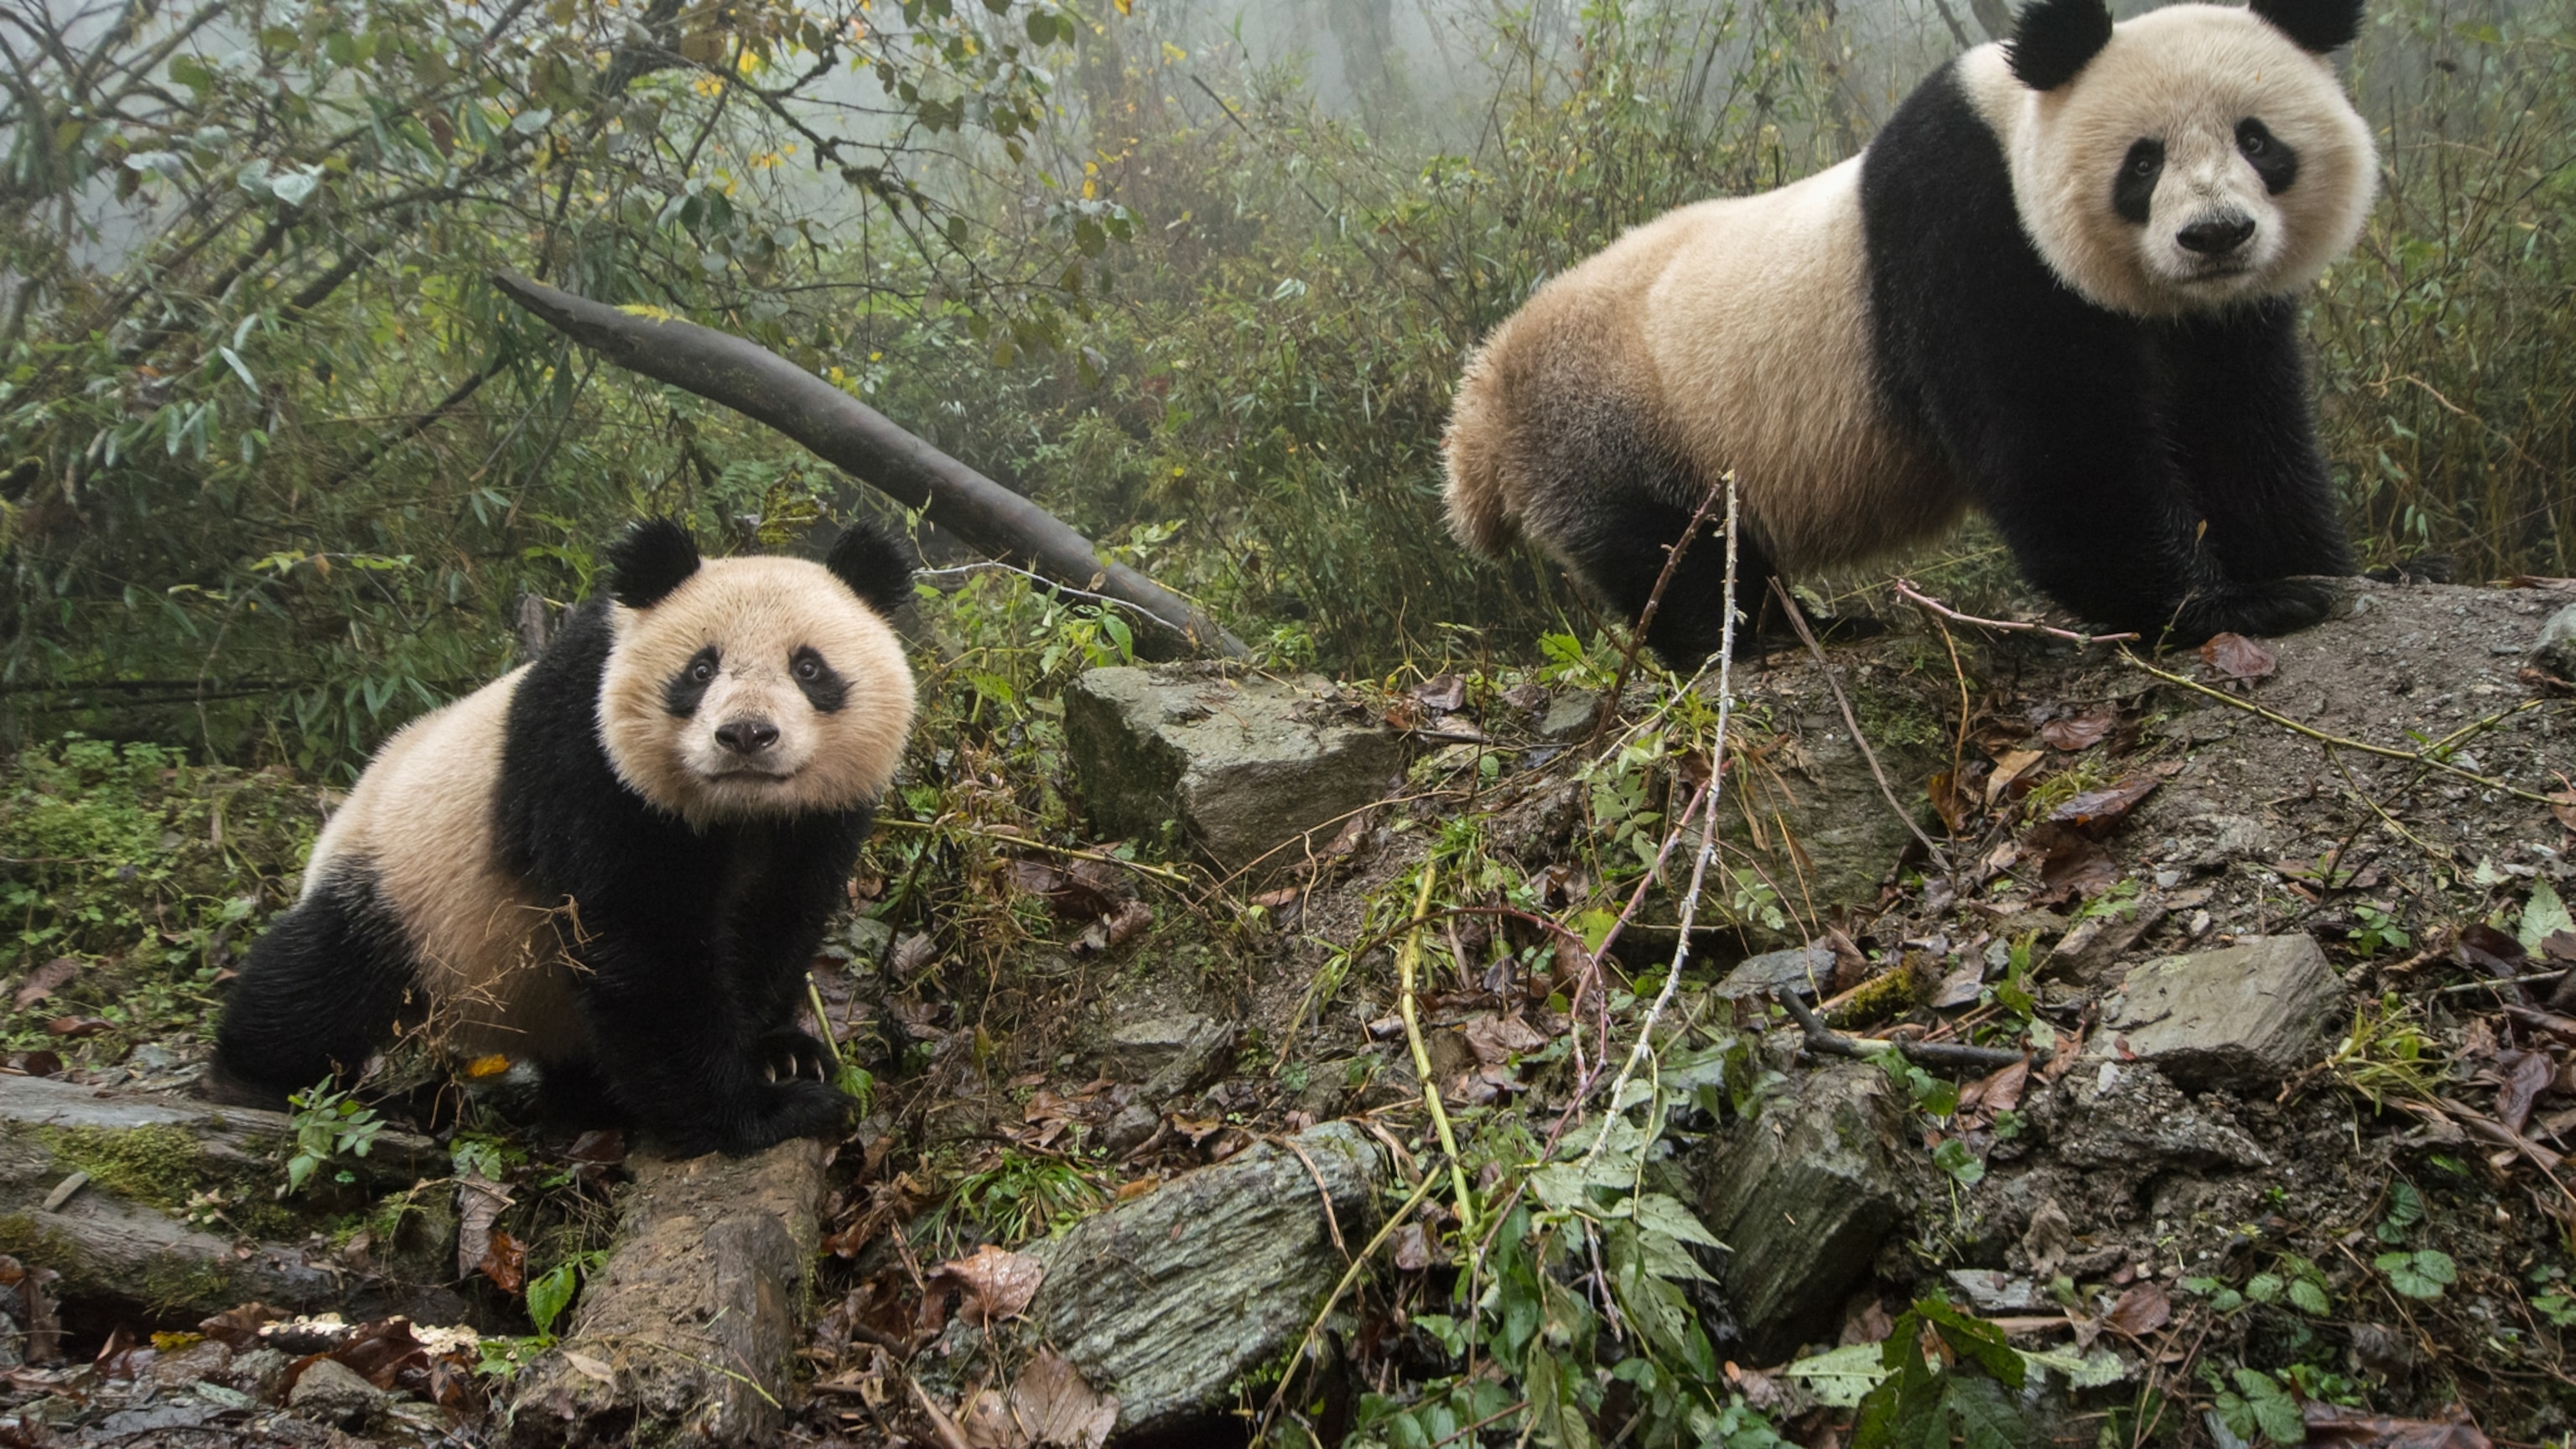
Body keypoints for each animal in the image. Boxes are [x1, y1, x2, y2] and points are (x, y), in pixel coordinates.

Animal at [210, 519, 918, 1157]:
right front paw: (761, 1110)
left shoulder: (816, 820)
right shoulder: (586, 761)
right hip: (404, 888)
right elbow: (646, 948)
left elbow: (777, 920)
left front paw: (783, 1055)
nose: (746, 735)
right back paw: (254, 1075)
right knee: (319, 979)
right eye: (699, 670)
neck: (739, 813)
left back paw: (585, 1097)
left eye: (809, 668)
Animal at [1442, 0, 2376, 663]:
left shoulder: (2222, 318)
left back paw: (1819, 625)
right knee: (1669, 549)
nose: (2215, 235)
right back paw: (1748, 642)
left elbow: (2242, 428)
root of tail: (1480, 397)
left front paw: (2312, 567)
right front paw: (2230, 605)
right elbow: (2056, 452)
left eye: (2259, 141)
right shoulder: (1968, 232)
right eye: (2142, 162)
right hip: (1608, 421)